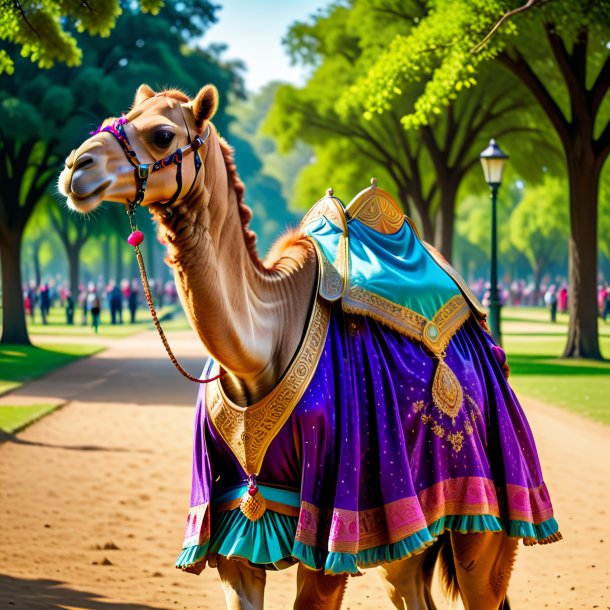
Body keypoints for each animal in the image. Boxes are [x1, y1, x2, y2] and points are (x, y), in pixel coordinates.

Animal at [59, 84, 560, 608]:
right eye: (112, 119)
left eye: (162, 134)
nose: (77, 166)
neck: (261, 351)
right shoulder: (233, 514)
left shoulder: (330, 520)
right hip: (413, 529)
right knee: (409, 582)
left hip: (487, 503)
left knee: (482, 573)